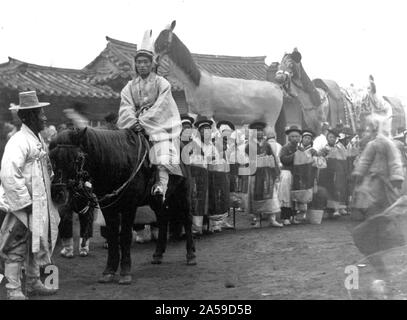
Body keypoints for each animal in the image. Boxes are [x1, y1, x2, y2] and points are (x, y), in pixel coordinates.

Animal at [49, 126, 196, 284]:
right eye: (52, 158)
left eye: (78, 158)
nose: (58, 192)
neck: (118, 163)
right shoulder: (108, 208)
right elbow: (112, 236)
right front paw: (109, 271)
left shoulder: (129, 207)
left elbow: (125, 236)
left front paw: (125, 272)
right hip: (156, 201)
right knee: (163, 219)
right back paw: (158, 254)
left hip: (182, 194)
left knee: (187, 219)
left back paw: (191, 255)